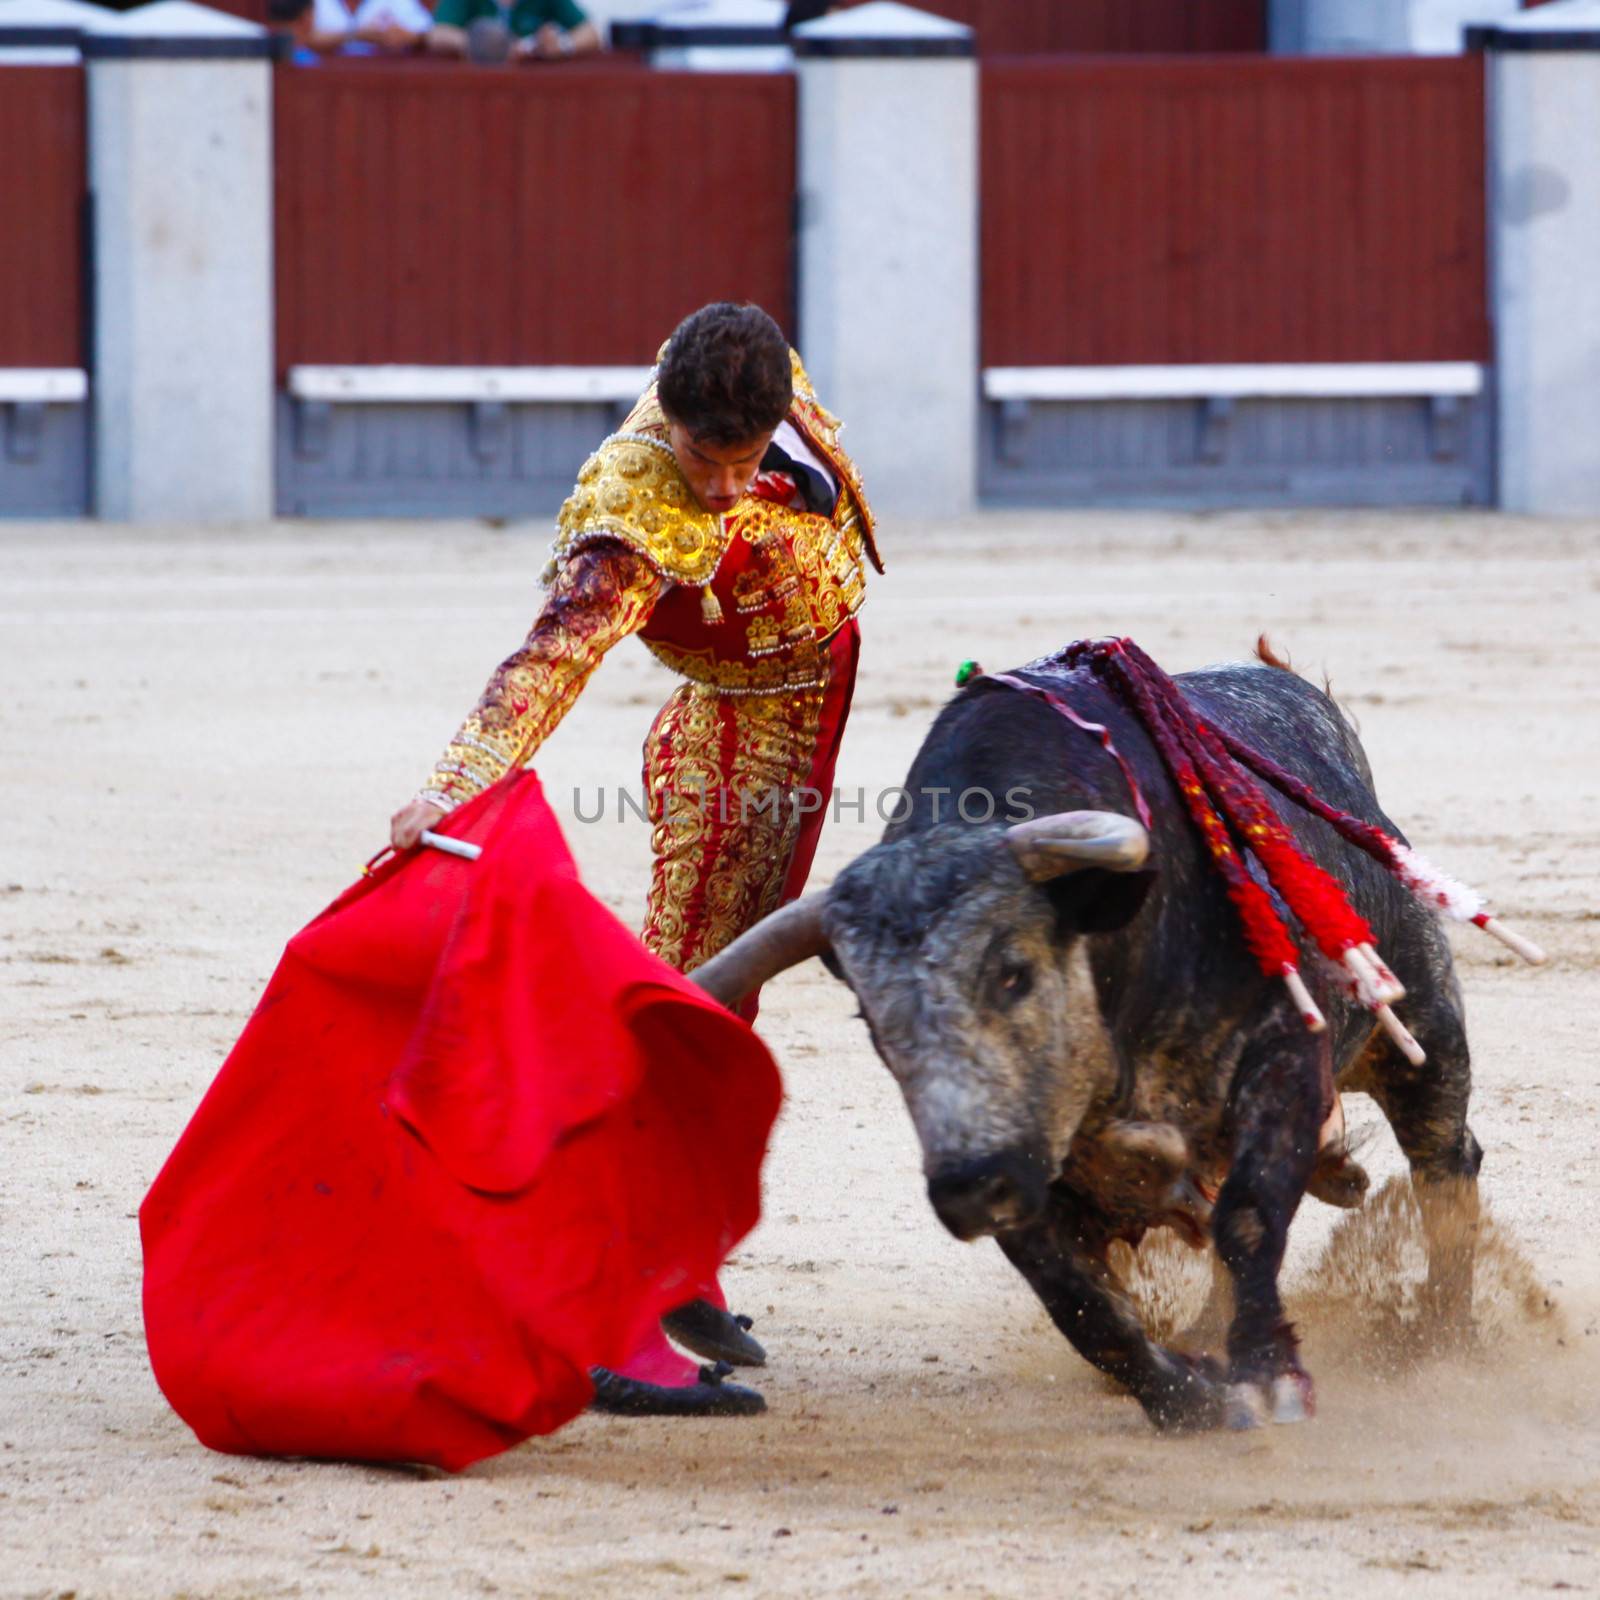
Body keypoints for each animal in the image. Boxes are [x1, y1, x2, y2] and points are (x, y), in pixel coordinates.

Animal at [694, 643, 1478, 1433]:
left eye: (1013, 973)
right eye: (875, 1022)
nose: (968, 1190)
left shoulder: (1285, 1049)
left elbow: (1250, 1215)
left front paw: (1266, 1374)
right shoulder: (1024, 1157)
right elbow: (1079, 1303)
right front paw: (1189, 1397)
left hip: (1423, 1025)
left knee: (1444, 1158)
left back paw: (1437, 1339)